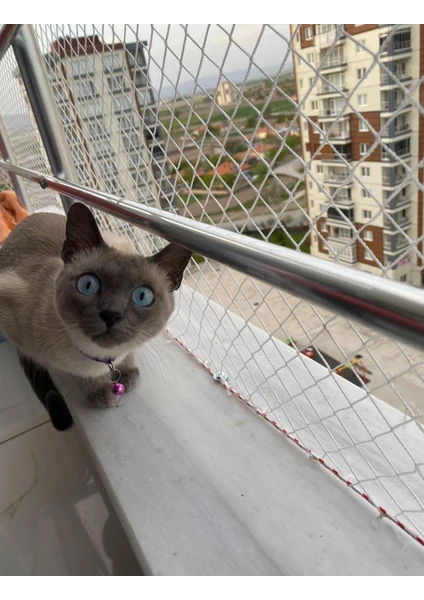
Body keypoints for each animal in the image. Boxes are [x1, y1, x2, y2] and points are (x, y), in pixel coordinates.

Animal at [0, 202, 192, 429]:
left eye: (142, 296)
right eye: (88, 285)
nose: (111, 314)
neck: (103, 359)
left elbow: (128, 354)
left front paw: (126, 375)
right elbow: (74, 373)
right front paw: (100, 392)